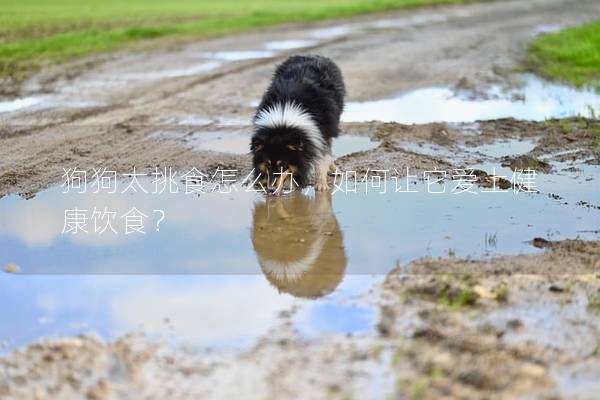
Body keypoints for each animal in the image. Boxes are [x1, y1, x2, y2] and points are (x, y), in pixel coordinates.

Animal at [250, 55, 344, 195]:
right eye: (268, 164)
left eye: (282, 165)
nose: (271, 190)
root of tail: (311, 55)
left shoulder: (322, 131)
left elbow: (322, 158)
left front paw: (321, 185)